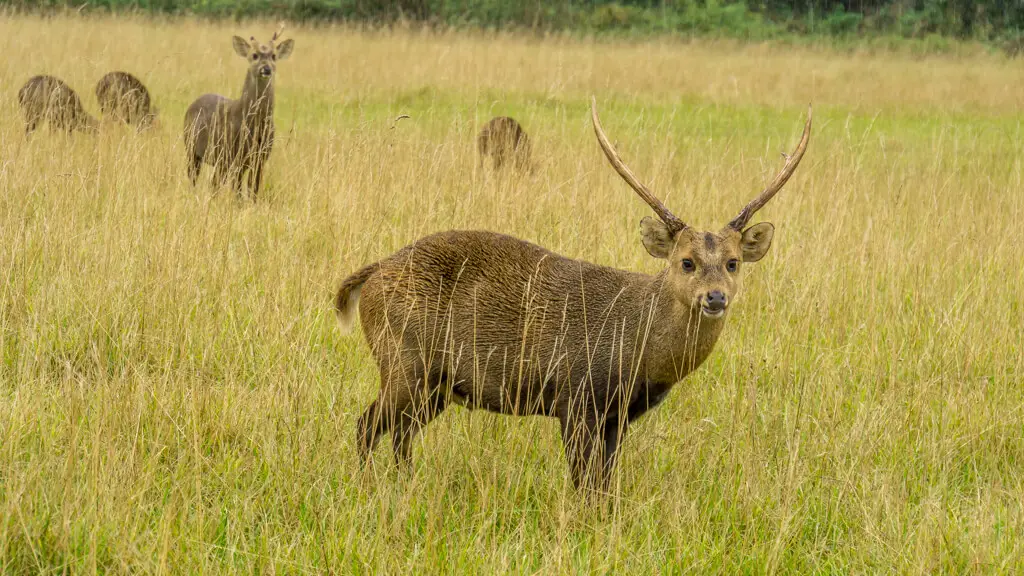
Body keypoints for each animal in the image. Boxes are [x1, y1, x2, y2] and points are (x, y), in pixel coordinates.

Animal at [182, 28, 294, 200]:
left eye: (274, 56)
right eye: (254, 55)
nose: (266, 69)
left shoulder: (260, 158)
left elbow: (253, 190)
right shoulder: (233, 156)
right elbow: (238, 193)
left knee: (213, 183)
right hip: (192, 149)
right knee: (196, 179)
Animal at [339, 98, 811, 494]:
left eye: (733, 262)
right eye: (687, 262)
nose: (715, 298)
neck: (636, 350)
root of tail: (374, 273)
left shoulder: (618, 416)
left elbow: (604, 484)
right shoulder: (575, 396)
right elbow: (584, 484)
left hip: (433, 384)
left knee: (399, 434)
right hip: (403, 359)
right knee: (366, 425)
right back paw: (368, 487)